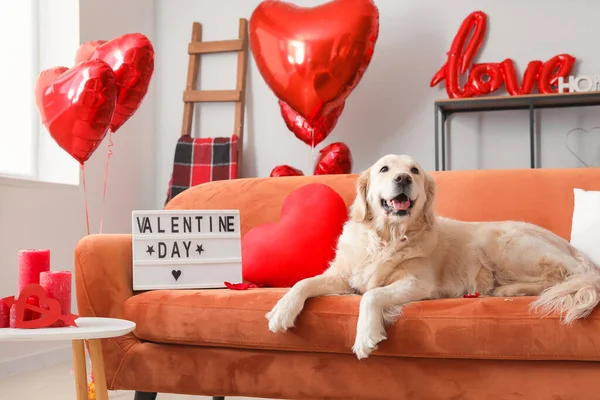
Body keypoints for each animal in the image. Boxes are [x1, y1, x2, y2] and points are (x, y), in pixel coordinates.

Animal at [264, 153, 600, 360]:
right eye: (384, 169)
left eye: (414, 170)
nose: (403, 178)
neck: (388, 237)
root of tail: (573, 250)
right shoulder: (342, 275)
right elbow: (304, 282)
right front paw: (282, 310)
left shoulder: (417, 283)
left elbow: (370, 296)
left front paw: (366, 335)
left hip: (509, 245)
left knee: (559, 278)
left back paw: (509, 289)